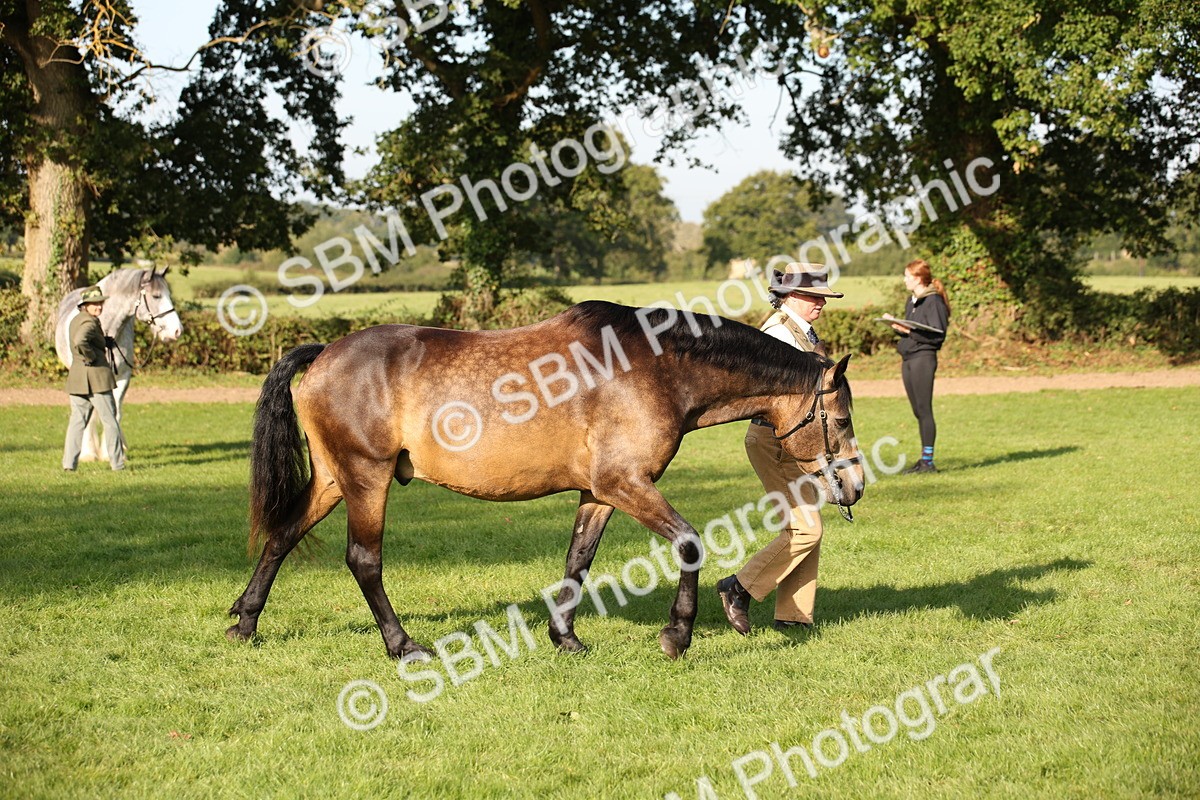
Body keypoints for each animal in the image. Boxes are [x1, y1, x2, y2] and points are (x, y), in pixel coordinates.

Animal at [55, 267, 183, 462]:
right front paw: (88, 453)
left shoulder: (123, 377)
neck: (108, 331)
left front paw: (112, 452)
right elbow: (91, 414)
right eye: (156, 296)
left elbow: (114, 412)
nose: (177, 331)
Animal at [227, 300, 865, 660]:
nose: (856, 486)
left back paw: (246, 622)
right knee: (364, 560)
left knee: (282, 536)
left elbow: (577, 560)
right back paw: (403, 646)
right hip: (366, 479)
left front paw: (566, 638)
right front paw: (676, 637)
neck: (656, 366)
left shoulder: (600, 492)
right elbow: (688, 544)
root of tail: (325, 352)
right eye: (842, 419)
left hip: (334, 480)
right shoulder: (626, 483)